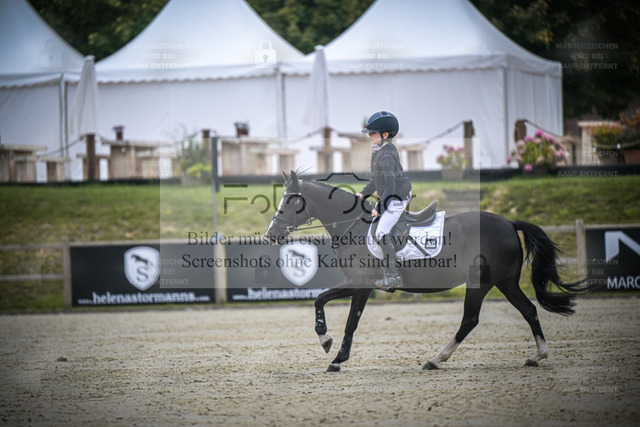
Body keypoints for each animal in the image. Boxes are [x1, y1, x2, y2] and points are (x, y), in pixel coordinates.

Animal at [264, 171, 589, 372]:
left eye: (291, 201)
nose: (271, 235)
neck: (353, 227)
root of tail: (509, 223)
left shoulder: (360, 283)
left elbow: (332, 309)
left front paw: (330, 347)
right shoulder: (360, 286)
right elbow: (338, 312)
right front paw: (333, 351)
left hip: (481, 284)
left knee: (470, 320)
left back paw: (436, 359)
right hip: (505, 282)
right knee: (528, 310)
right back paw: (538, 355)